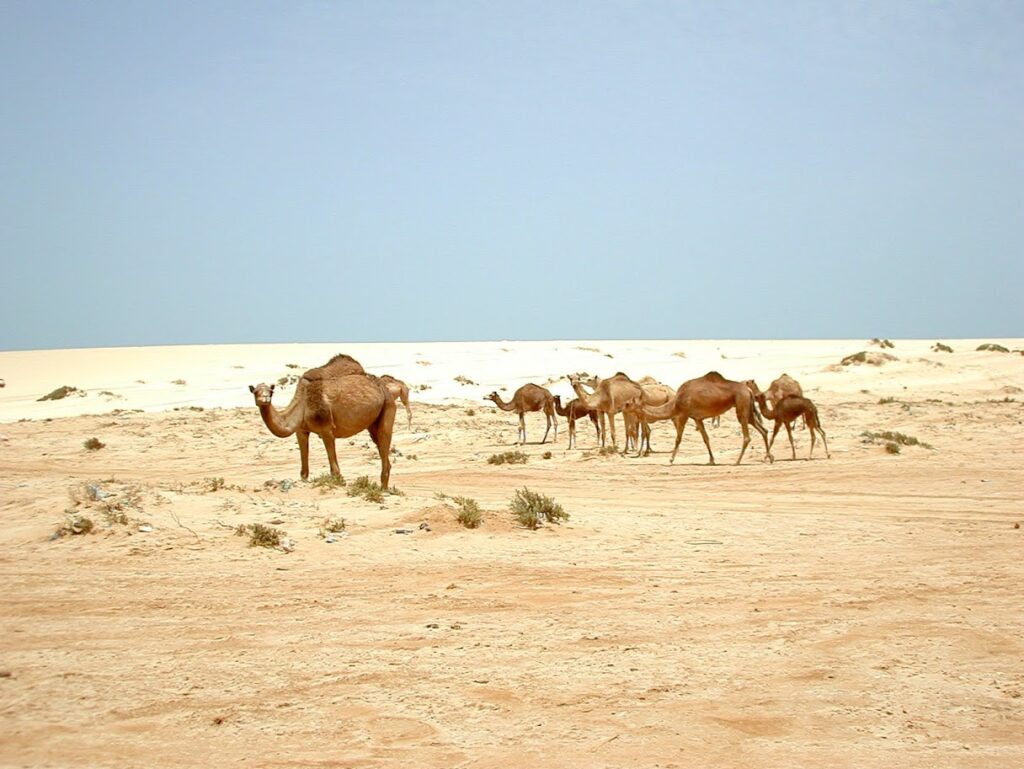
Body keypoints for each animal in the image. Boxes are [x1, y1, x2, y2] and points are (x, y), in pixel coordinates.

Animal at [249, 373, 397, 486]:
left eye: (271, 392)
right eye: (255, 392)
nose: (265, 398)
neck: (302, 405)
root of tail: (383, 387)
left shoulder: (326, 429)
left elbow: (334, 468)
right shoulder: (301, 431)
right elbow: (304, 470)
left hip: (388, 405)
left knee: (384, 439)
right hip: (373, 423)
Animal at [628, 371, 773, 465]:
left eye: (628, 404)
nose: (623, 407)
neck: (675, 402)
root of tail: (748, 390)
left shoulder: (684, 414)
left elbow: (678, 438)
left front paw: (671, 460)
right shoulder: (697, 418)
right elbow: (706, 439)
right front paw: (712, 460)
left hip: (741, 405)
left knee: (747, 436)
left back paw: (737, 461)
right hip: (747, 408)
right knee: (763, 430)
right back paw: (769, 458)